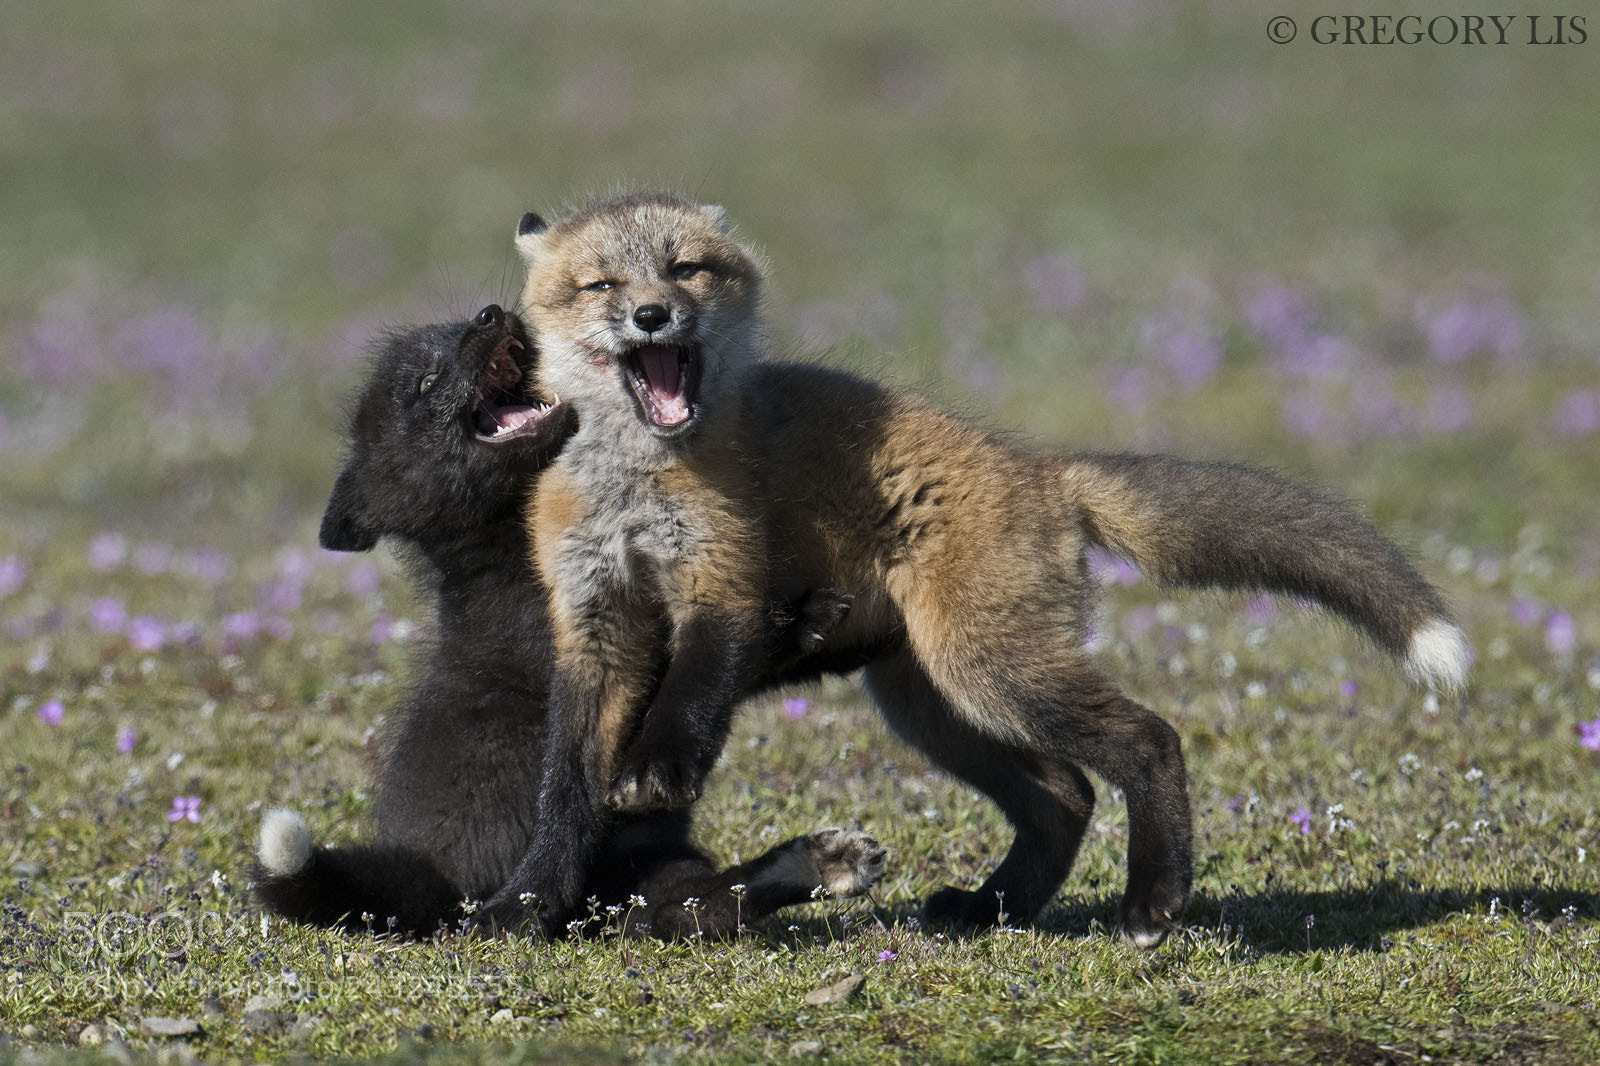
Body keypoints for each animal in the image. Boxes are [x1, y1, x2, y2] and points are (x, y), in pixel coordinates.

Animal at [252, 305, 886, 939]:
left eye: (459, 327)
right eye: (426, 383)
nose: (491, 313)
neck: (510, 541)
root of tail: (439, 885)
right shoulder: (596, 644)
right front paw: (802, 621)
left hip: (651, 871)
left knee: (704, 905)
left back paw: (828, 860)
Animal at [492, 192, 1469, 948]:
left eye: (686, 269)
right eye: (601, 285)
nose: (653, 316)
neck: (634, 484)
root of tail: (1041, 469)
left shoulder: (721, 583)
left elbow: (690, 693)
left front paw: (657, 771)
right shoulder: (595, 627)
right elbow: (564, 789)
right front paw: (524, 906)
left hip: (986, 672)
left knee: (1148, 739)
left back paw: (1152, 899)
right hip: (934, 705)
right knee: (1065, 795)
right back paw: (993, 908)